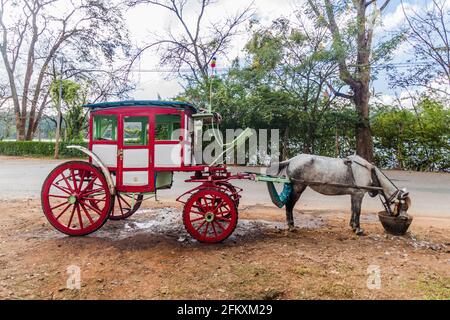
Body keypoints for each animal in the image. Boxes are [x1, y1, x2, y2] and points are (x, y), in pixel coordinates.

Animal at [268, 154, 412, 234]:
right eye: (404, 206)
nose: (405, 219)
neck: (370, 172)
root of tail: (291, 160)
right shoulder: (359, 194)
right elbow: (358, 211)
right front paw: (358, 229)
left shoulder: (354, 194)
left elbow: (353, 210)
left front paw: (352, 226)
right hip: (298, 187)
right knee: (290, 205)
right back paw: (291, 226)